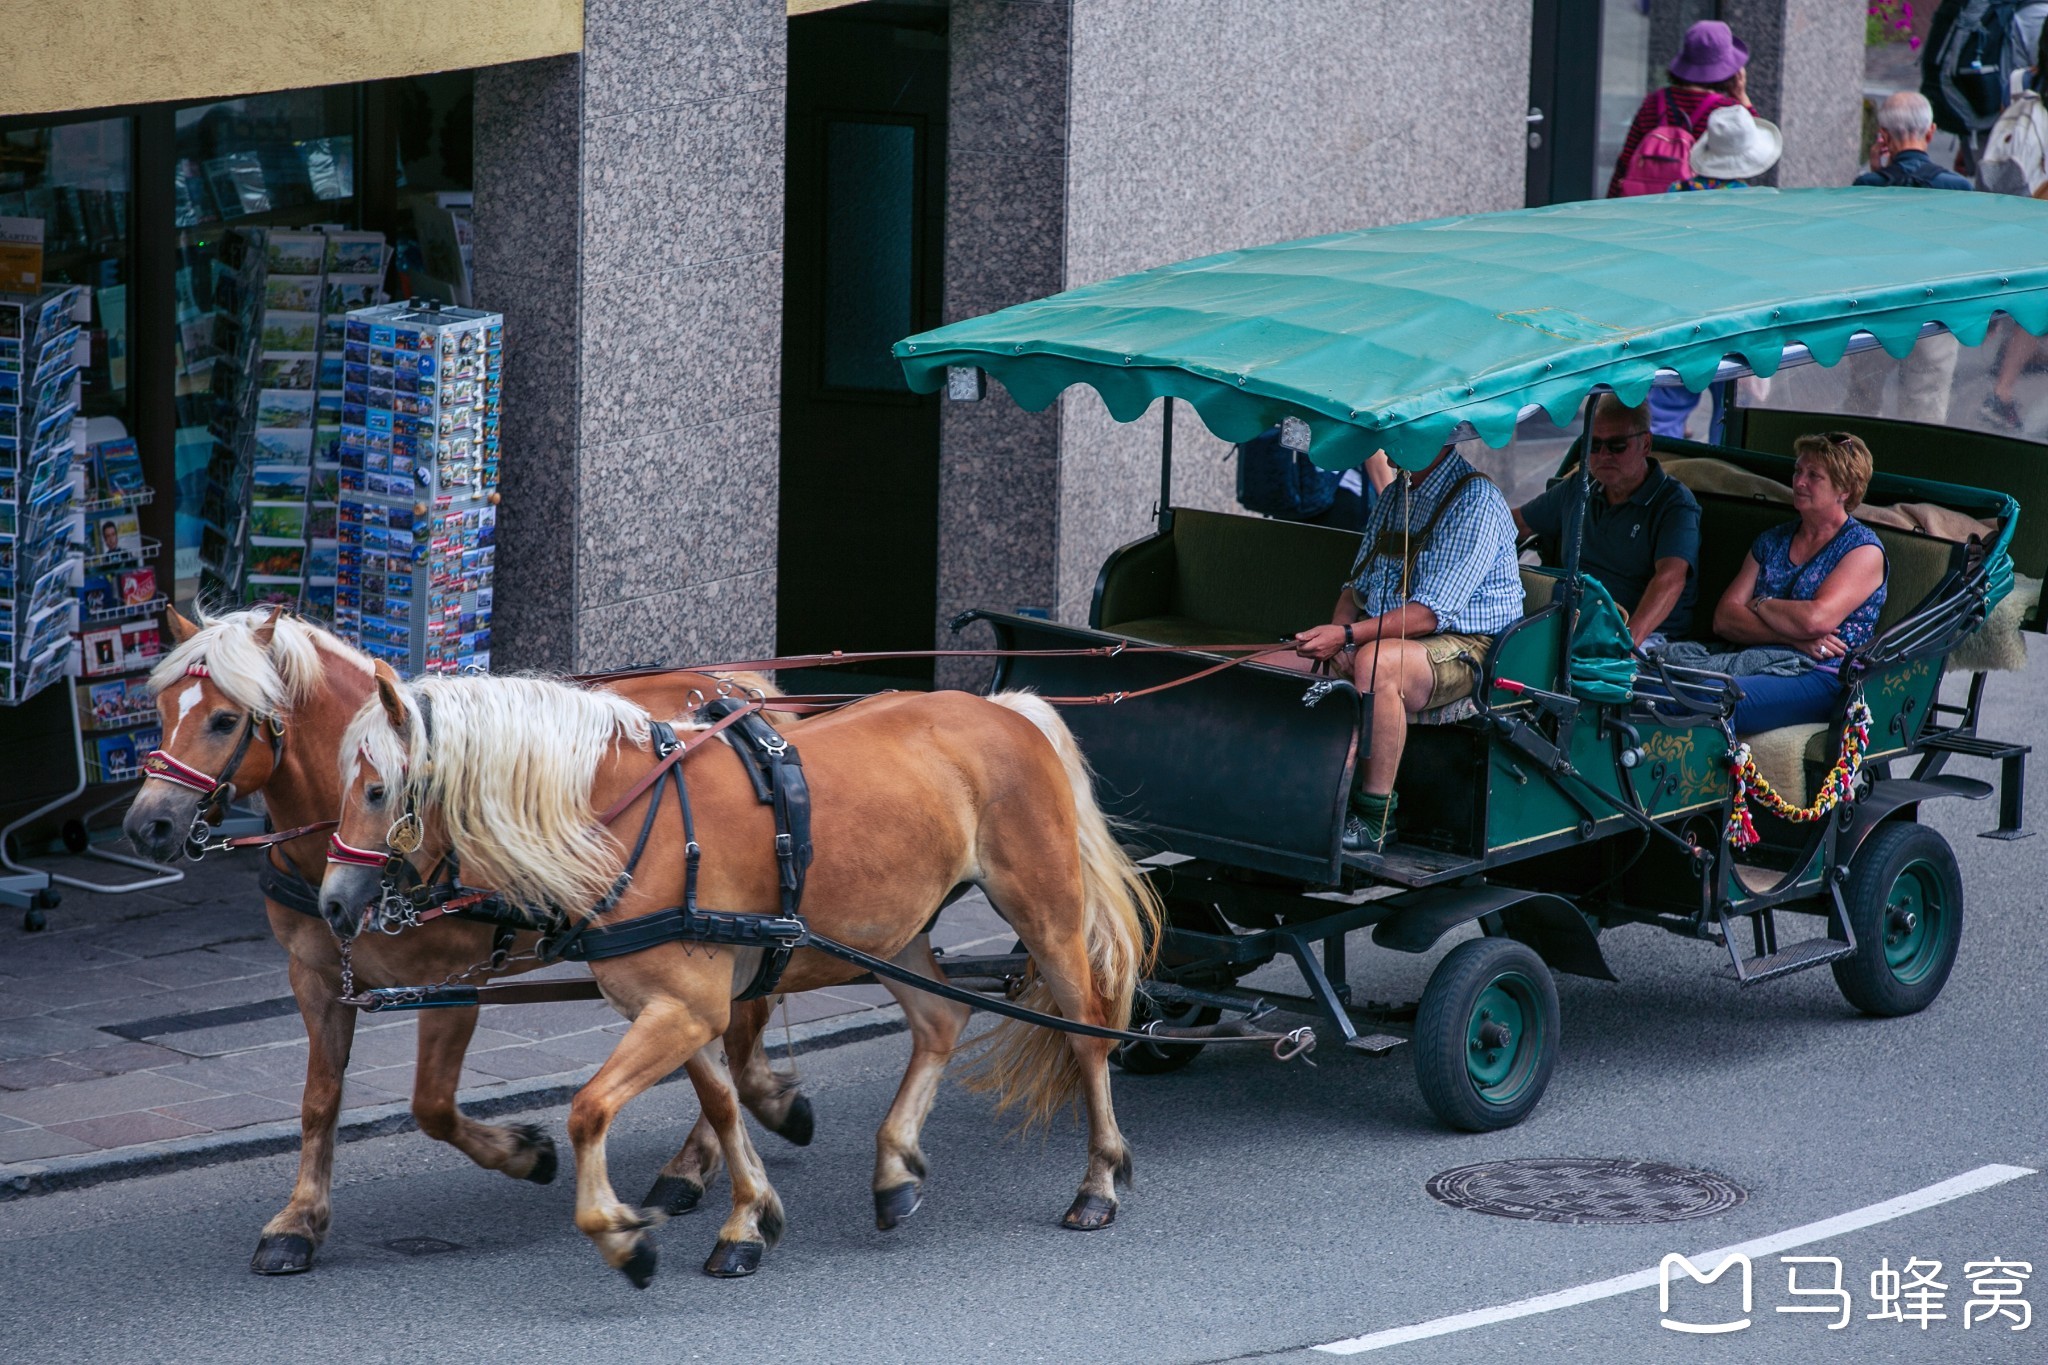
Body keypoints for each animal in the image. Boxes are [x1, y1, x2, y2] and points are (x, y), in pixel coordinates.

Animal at [121, 609, 815, 1268]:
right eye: (160, 710)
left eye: (224, 720)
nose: (145, 825)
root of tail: (744, 685)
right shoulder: (314, 977)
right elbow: (320, 1099)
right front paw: (298, 1222)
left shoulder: (449, 983)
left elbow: (431, 1102)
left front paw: (524, 1153)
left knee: (739, 1030)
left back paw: (707, 1157)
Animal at [315, 667, 1155, 1285]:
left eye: (378, 789)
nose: (331, 901)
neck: (629, 819)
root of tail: (1005, 709)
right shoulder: (678, 1007)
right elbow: (721, 1103)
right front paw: (749, 1218)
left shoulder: (684, 1008)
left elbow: (589, 1109)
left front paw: (622, 1235)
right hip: (889, 931)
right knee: (941, 1020)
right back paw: (893, 1167)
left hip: (1045, 911)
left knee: (1087, 1035)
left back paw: (1098, 1183)